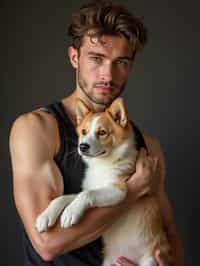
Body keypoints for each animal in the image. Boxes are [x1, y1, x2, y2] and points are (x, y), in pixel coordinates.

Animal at [35, 97, 170, 266]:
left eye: (102, 132)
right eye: (84, 132)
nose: (82, 146)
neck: (102, 164)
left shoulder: (119, 190)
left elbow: (87, 194)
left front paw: (71, 213)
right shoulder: (92, 187)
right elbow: (65, 197)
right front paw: (46, 216)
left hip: (150, 260)